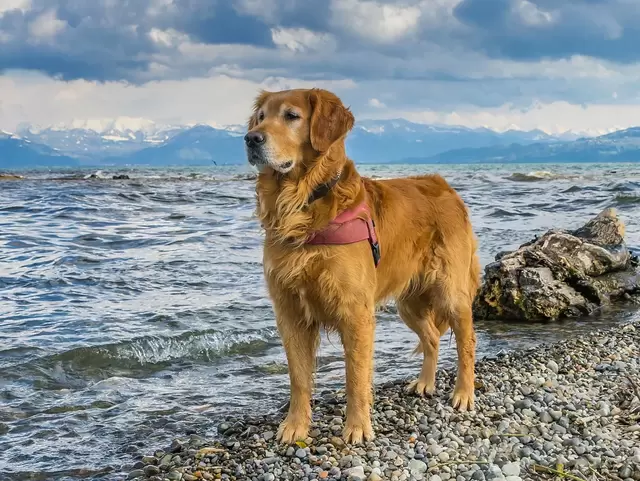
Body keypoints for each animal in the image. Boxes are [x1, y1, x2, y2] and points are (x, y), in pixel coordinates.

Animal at [245, 87, 480, 442]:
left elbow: (355, 377)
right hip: (408, 303)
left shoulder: (355, 312)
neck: (305, 202)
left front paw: (356, 427)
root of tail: (446, 187)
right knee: (432, 337)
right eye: (261, 117)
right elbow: (298, 378)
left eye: (291, 116)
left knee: (467, 342)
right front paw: (295, 426)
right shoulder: (290, 312)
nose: (250, 139)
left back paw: (464, 394)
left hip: (449, 291)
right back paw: (425, 383)